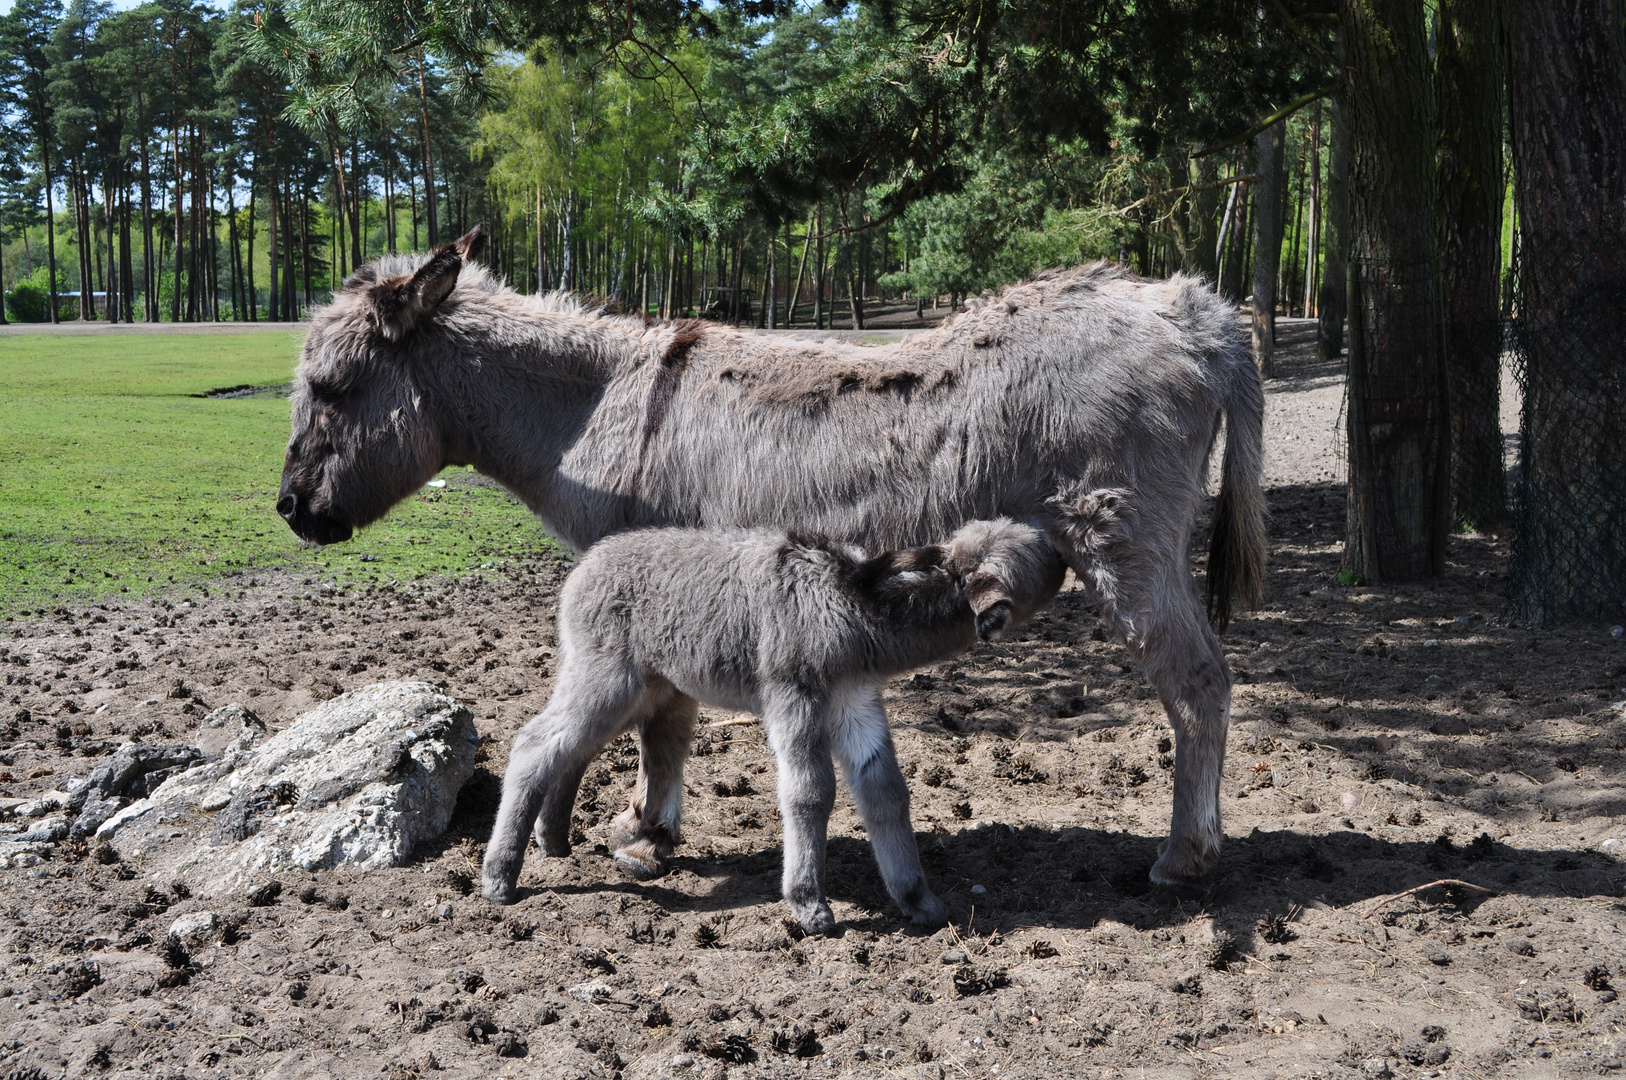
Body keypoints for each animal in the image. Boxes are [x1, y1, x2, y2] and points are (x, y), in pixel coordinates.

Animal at [481, 520, 1066, 930]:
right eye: (1038, 555)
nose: (1064, 547)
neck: (851, 606)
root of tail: (583, 566)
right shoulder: (794, 692)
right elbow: (811, 791)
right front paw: (809, 905)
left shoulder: (854, 700)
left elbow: (885, 790)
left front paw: (918, 899)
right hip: (607, 678)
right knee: (535, 744)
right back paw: (500, 876)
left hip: (645, 686)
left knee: (575, 749)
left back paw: (554, 841)